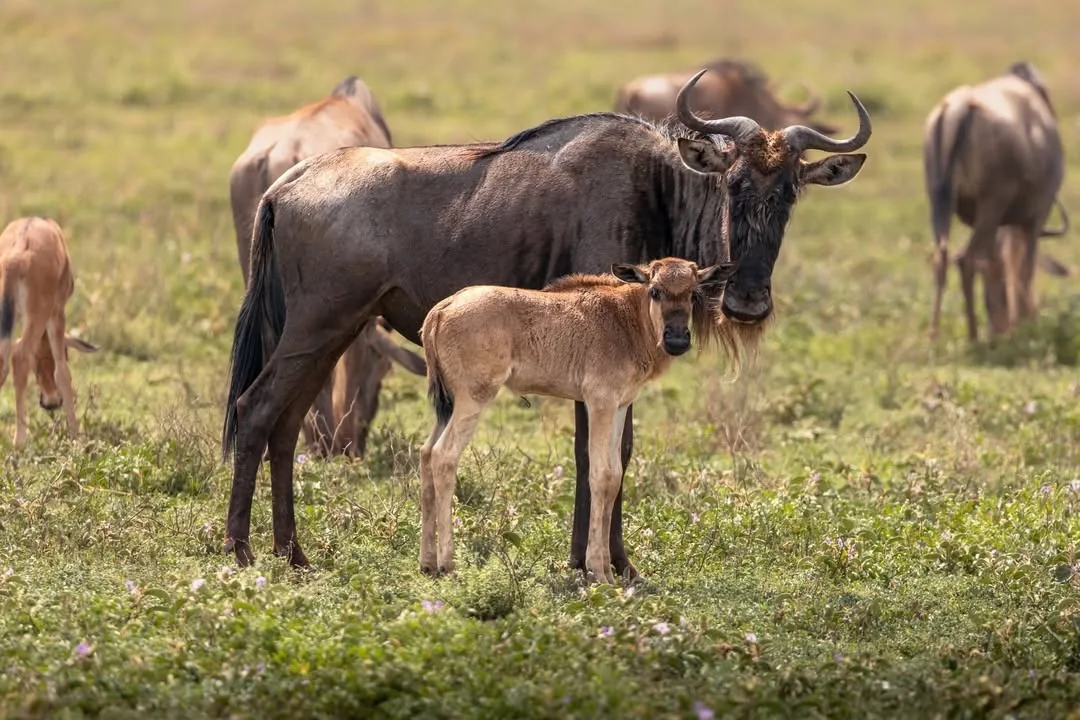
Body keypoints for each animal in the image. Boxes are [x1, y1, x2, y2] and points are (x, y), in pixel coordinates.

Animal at [0, 217, 99, 447]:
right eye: (67, 352)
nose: (51, 403)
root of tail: (15, 258)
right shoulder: (57, 311)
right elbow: (62, 372)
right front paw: (76, 436)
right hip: (41, 313)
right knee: (19, 356)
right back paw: (19, 441)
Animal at [417, 257, 736, 583]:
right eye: (655, 291)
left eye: (693, 293)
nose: (677, 340)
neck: (625, 318)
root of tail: (442, 309)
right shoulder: (599, 402)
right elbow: (601, 475)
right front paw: (599, 571)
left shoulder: (620, 405)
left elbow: (615, 476)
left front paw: (607, 569)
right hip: (474, 398)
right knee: (444, 456)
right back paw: (447, 563)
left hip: (449, 405)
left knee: (426, 454)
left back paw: (427, 563)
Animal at [924, 60, 1068, 342]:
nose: (1006, 326)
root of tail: (962, 105)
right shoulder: (1034, 219)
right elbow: (1024, 271)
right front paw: (1025, 326)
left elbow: (994, 264)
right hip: (992, 207)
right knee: (966, 258)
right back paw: (974, 337)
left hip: (941, 205)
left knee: (943, 259)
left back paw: (935, 335)